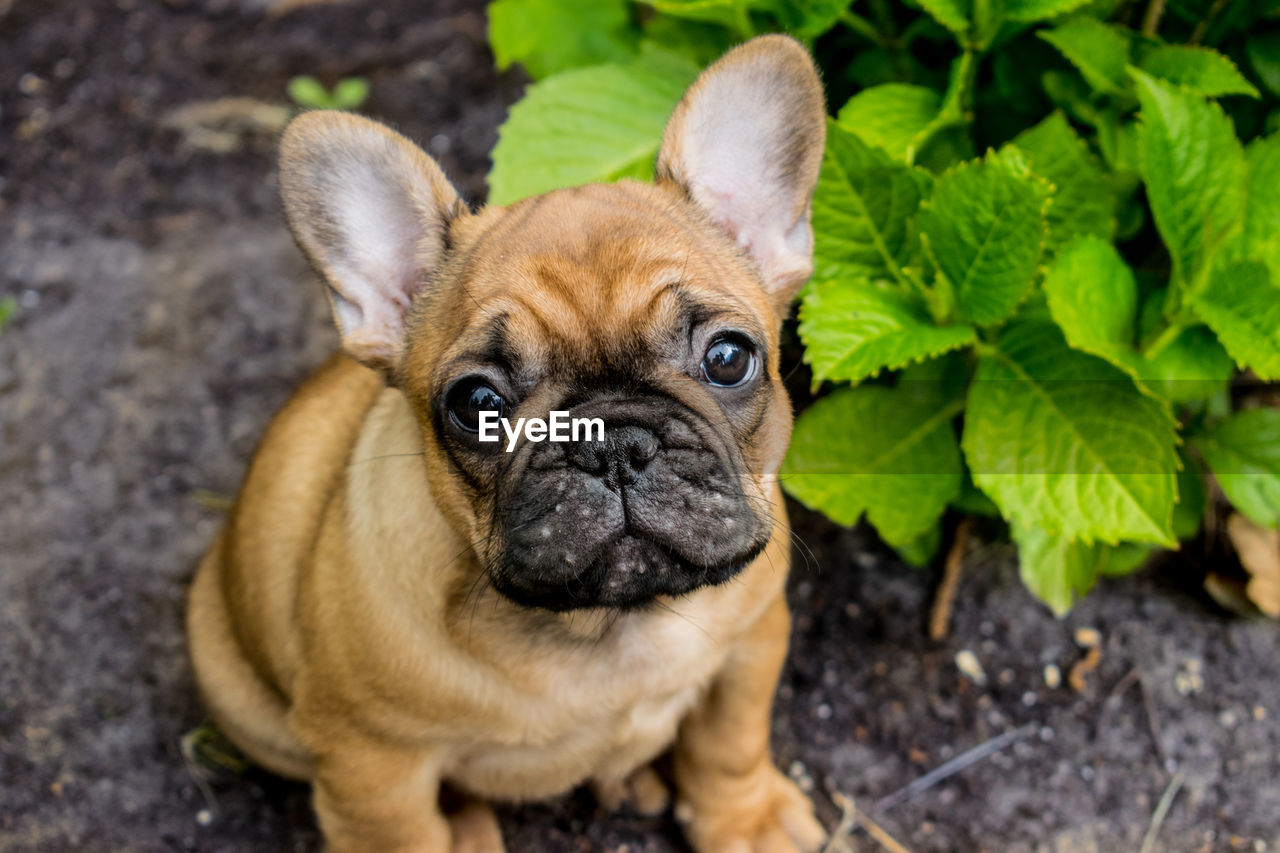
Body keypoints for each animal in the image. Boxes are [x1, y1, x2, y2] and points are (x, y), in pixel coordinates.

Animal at [186, 34, 829, 850]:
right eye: (477, 404)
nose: (609, 443)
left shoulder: (751, 643)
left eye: (727, 358)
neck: (611, 626)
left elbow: (729, 738)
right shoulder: (370, 765)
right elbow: (405, 837)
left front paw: (744, 818)